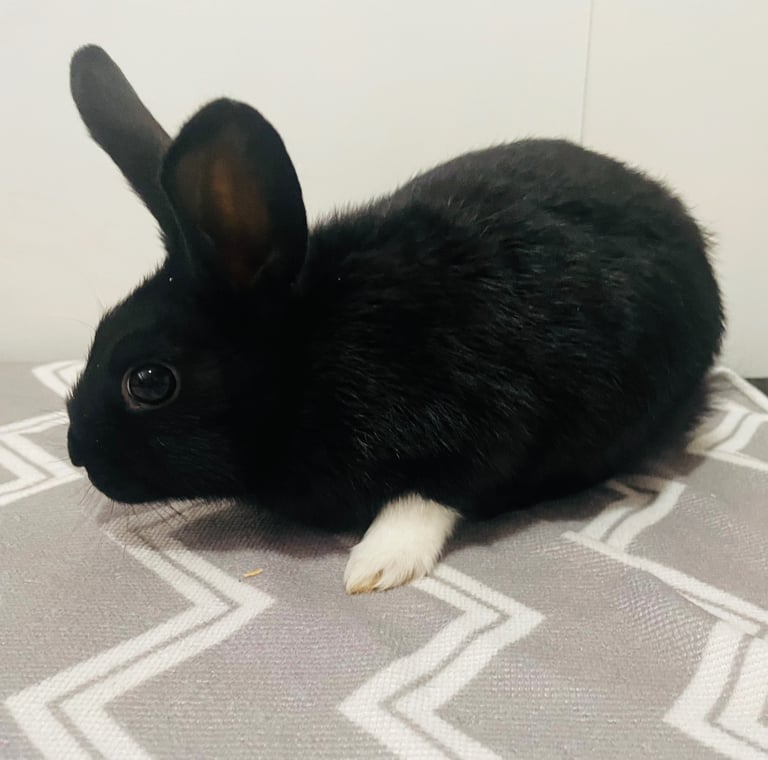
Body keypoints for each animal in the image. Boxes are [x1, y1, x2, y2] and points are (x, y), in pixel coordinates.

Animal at [66, 45, 724, 594]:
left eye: (150, 382)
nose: (78, 454)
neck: (314, 354)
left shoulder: (488, 416)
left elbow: (427, 494)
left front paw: (375, 565)